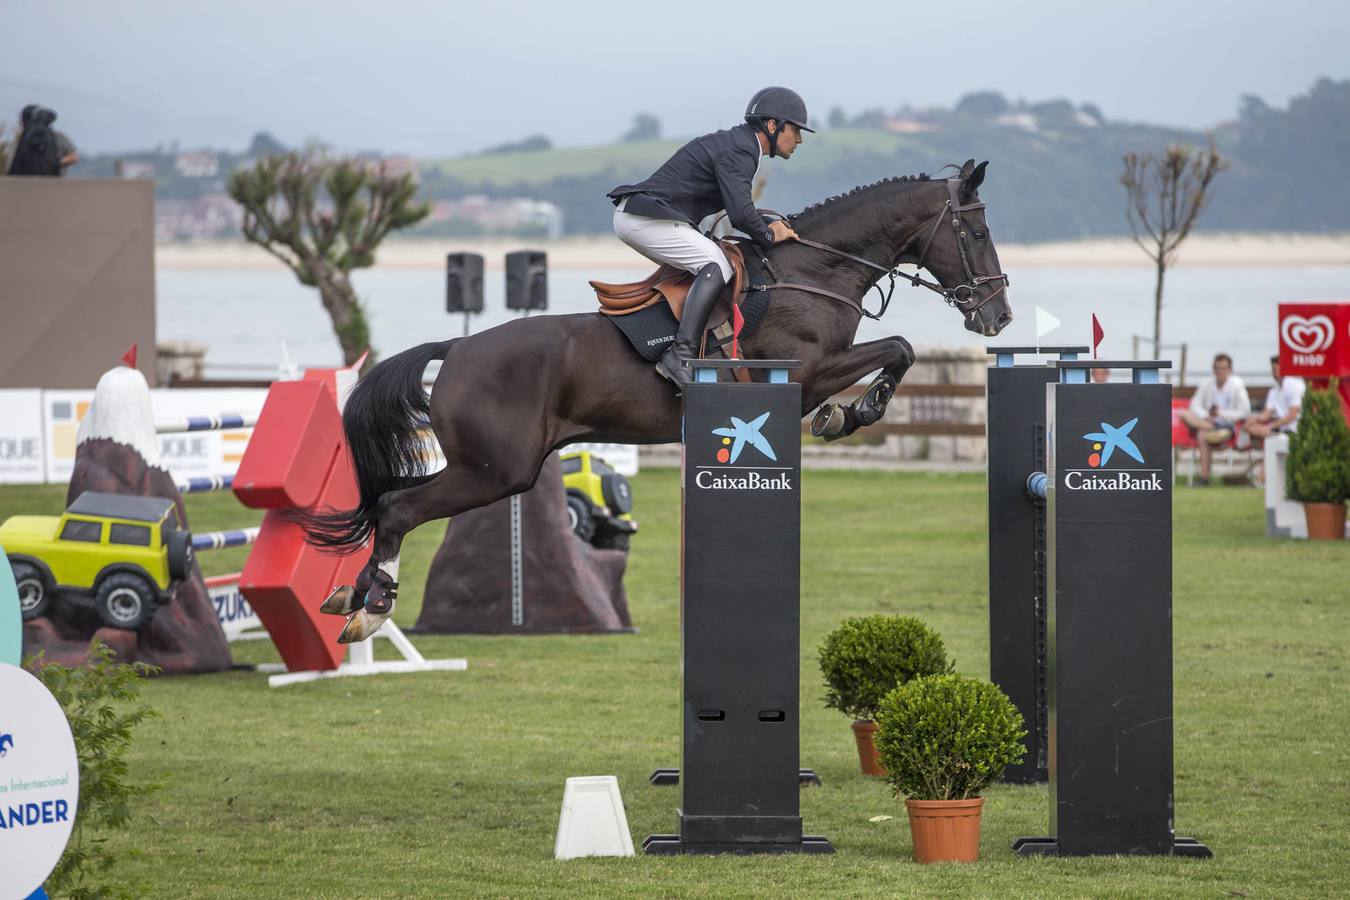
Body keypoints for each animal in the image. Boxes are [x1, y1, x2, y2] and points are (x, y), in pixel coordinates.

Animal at [301, 159, 1009, 639]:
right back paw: (371, 608)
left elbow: (901, 349)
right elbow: (899, 348)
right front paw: (852, 414)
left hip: (491, 468)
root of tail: (457, 348)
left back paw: (351, 598)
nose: (997, 316)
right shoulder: (808, 371)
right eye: (976, 233)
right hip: (497, 470)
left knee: (389, 507)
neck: (814, 272)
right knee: (396, 508)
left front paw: (852, 412)